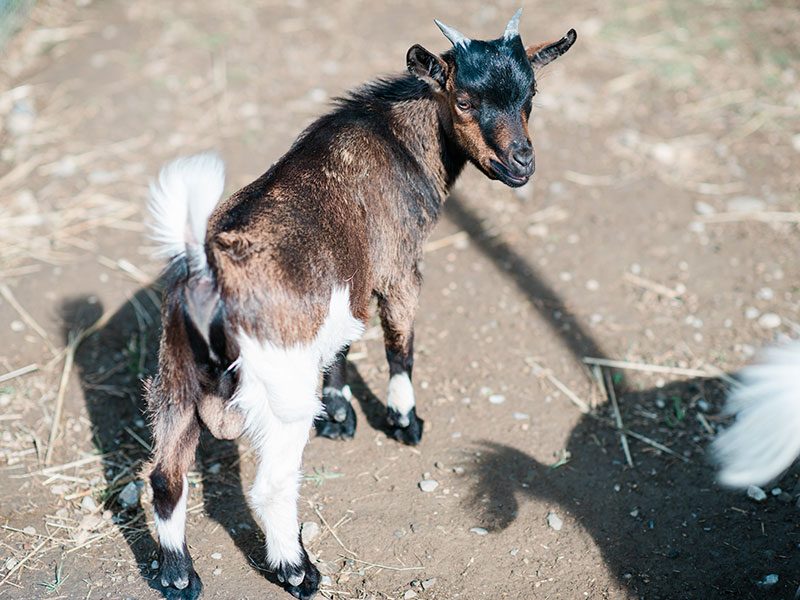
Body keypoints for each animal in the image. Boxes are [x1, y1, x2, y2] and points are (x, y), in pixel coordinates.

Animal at [147, 10, 580, 600]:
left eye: (531, 95)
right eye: (464, 100)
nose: (521, 162)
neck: (395, 138)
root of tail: (206, 271)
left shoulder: (347, 287)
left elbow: (344, 343)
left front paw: (340, 414)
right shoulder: (400, 268)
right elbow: (400, 345)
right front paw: (404, 421)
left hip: (173, 379)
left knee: (165, 477)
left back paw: (178, 576)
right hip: (280, 392)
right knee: (269, 486)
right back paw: (298, 570)